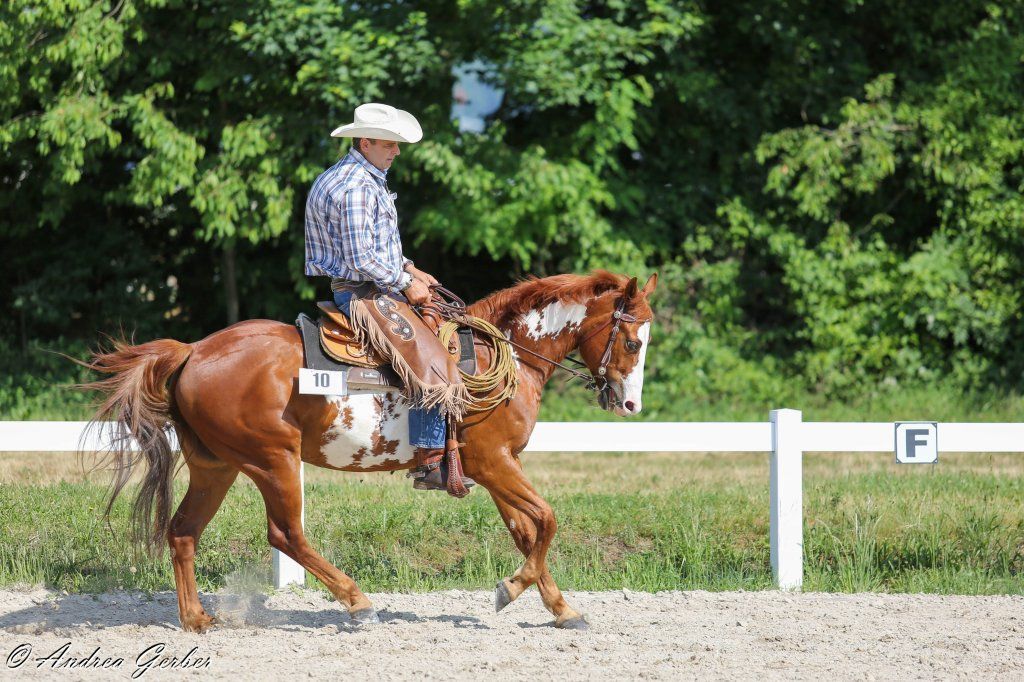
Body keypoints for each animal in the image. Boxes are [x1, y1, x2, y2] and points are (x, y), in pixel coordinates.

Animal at [82, 270, 657, 631]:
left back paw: (197, 618)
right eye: (633, 342)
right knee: (286, 534)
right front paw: (510, 590)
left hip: (216, 466)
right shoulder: (492, 462)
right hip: (272, 460)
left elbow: (527, 531)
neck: (510, 353)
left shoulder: (499, 467)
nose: (629, 403)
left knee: (183, 531)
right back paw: (358, 603)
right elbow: (548, 520)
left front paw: (561, 609)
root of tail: (194, 351)